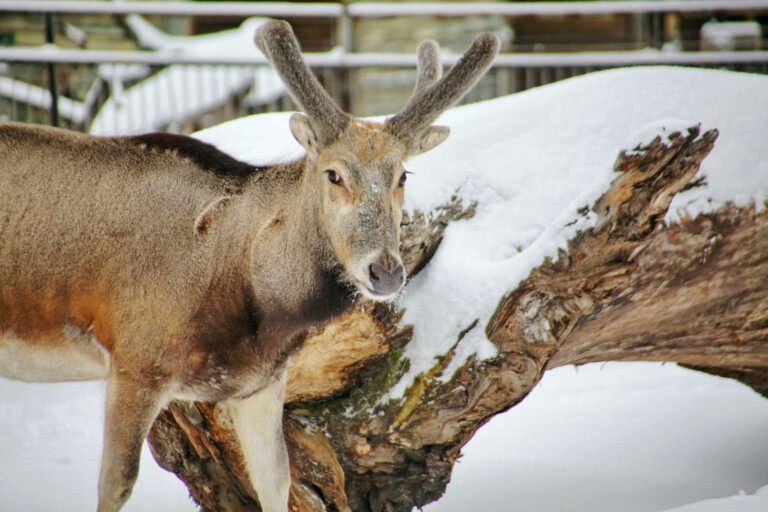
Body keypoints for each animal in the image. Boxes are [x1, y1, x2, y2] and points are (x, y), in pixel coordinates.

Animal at [0, 20, 499, 512]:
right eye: (333, 174)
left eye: (402, 176)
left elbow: (276, 481)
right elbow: (116, 484)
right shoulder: (135, 360)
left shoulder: (260, 383)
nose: (387, 271)